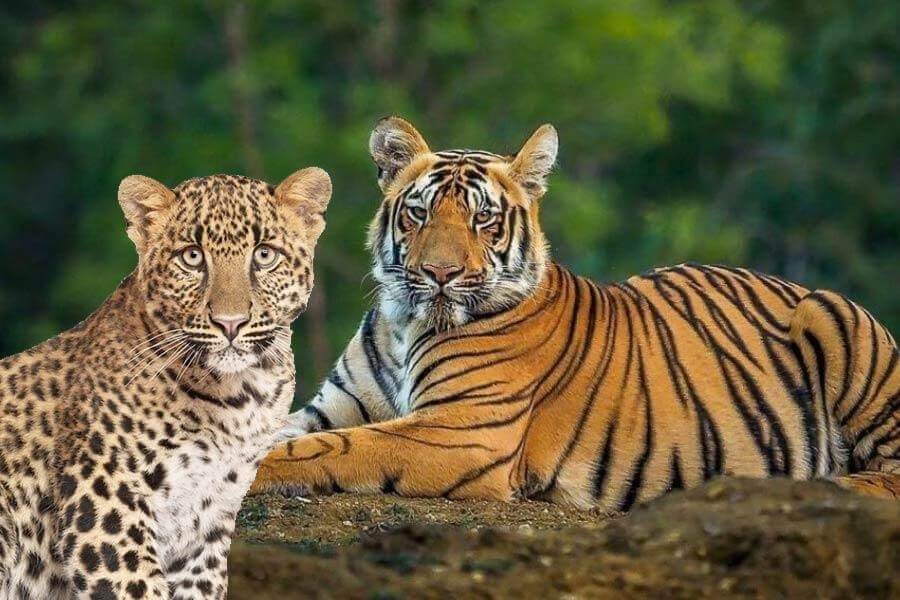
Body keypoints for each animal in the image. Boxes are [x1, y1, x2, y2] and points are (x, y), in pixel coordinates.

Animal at [0, 167, 331, 599]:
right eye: (192, 257)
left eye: (264, 255)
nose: (230, 323)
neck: (239, 396)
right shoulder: (106, 503)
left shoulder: (207, 525)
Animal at [250, 116, 899, 509]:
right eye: (419, 213)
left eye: (483, 219)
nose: (440, 274)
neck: (405, 323)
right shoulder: (332, 407)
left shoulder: (461, 431)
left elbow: (330, 449)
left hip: (836, 318)